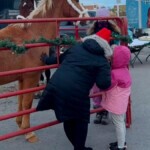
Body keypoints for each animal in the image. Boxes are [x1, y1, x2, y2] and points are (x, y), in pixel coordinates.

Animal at [0, 0, 89, 143]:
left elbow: (20, 102)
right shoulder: (31, 77)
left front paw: (20, 125)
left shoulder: (22, 79)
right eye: (76, 1)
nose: (87, 17)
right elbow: (27, 103)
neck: (32, 34)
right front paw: (28, 132)